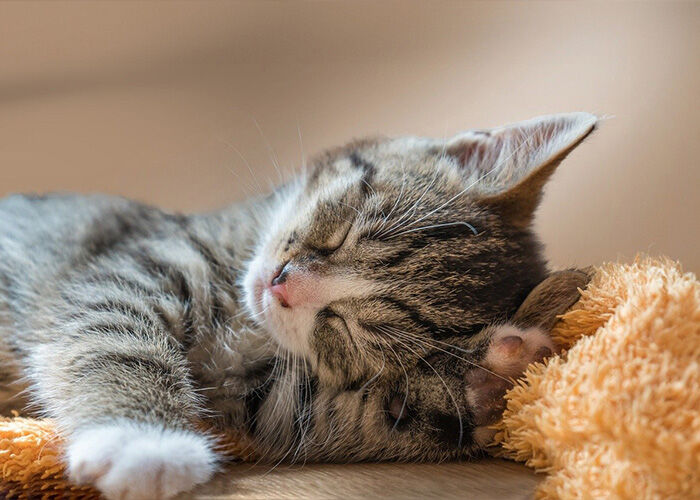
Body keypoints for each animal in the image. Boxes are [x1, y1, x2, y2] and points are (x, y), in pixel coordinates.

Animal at [0, 113, 596, 500]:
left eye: (347, 328)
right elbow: (116, 336)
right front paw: (145, 443)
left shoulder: (266, 391)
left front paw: (490, 380)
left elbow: (309, 413)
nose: (283, 285)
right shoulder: (129, 266)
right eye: (345, 229)